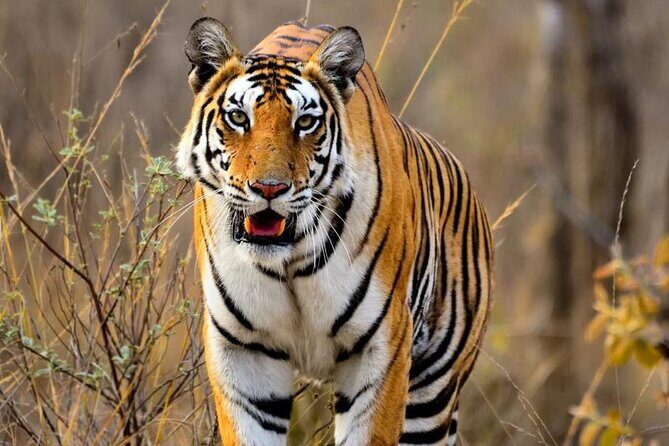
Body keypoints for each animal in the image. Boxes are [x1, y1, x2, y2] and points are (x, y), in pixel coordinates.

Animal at [176, 17, 493, 446]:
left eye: (305, 122)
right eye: (239, 118)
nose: (269, 189)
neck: (288, 261)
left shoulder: (381, 349)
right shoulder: (243, 354)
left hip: (432, 392)